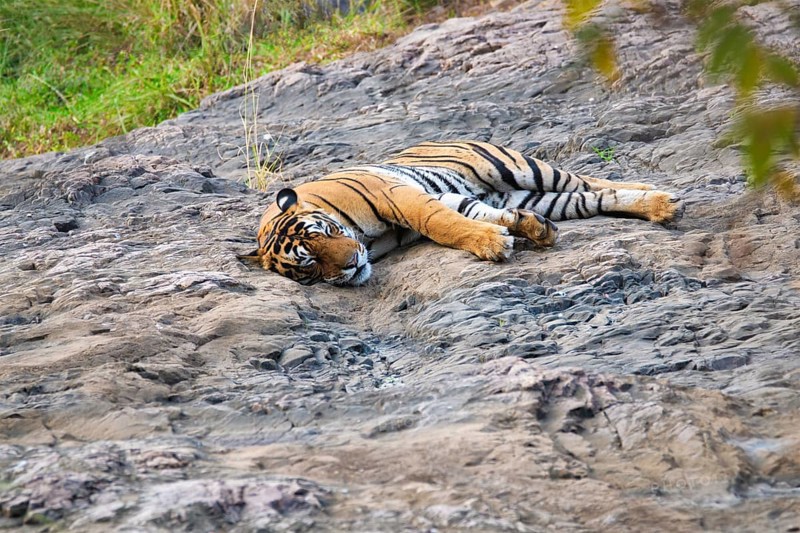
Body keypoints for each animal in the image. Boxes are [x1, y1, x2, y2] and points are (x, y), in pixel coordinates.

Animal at [240, 141, 683, 286]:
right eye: (309, 264)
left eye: (327, 232)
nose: (351, 264)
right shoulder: (443, 199)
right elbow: (464, 218)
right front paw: (505, 234)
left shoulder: (401, 197)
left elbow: (442, 225)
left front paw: (492, 245)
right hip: (526, 195)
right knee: (590, 198)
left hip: (521, 167)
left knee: (587, 180)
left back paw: (661, 199)